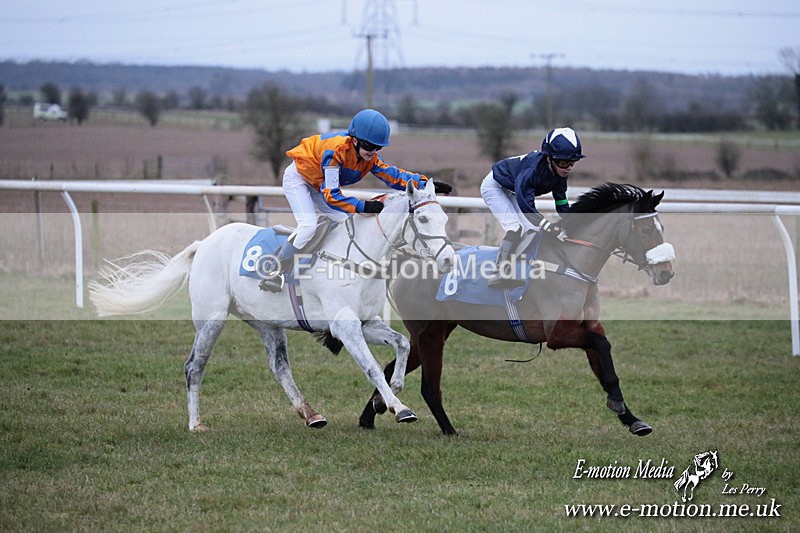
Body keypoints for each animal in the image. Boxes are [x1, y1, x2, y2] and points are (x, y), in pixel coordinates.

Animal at [89, 179, 455, 432]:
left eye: (444, 218)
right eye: (423, 221)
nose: (449, 260)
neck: (357, 257)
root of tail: (204, 243)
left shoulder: (366, 322)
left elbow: (402, 343)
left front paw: (386, 397)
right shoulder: (345, 325)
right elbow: (372, 367)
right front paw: (398, 407)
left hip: (266, 322)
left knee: (279, 367)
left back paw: (311, 414)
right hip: (211, 319)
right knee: (194, 366)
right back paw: (195, 424)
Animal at [357, 183, 675, 436]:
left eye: (661, 227)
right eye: (647, 228)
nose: (666, 273)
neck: (570, 262)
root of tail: (408, 261)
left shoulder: (587, 326)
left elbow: (606, 367)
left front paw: (632, 419)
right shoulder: (557, 334)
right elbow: (602, 344)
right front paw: (621, 408)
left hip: (436, 330)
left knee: (392, 367)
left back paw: (372, 414)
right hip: (429, 333)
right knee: (429, 386)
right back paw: (448, 429)